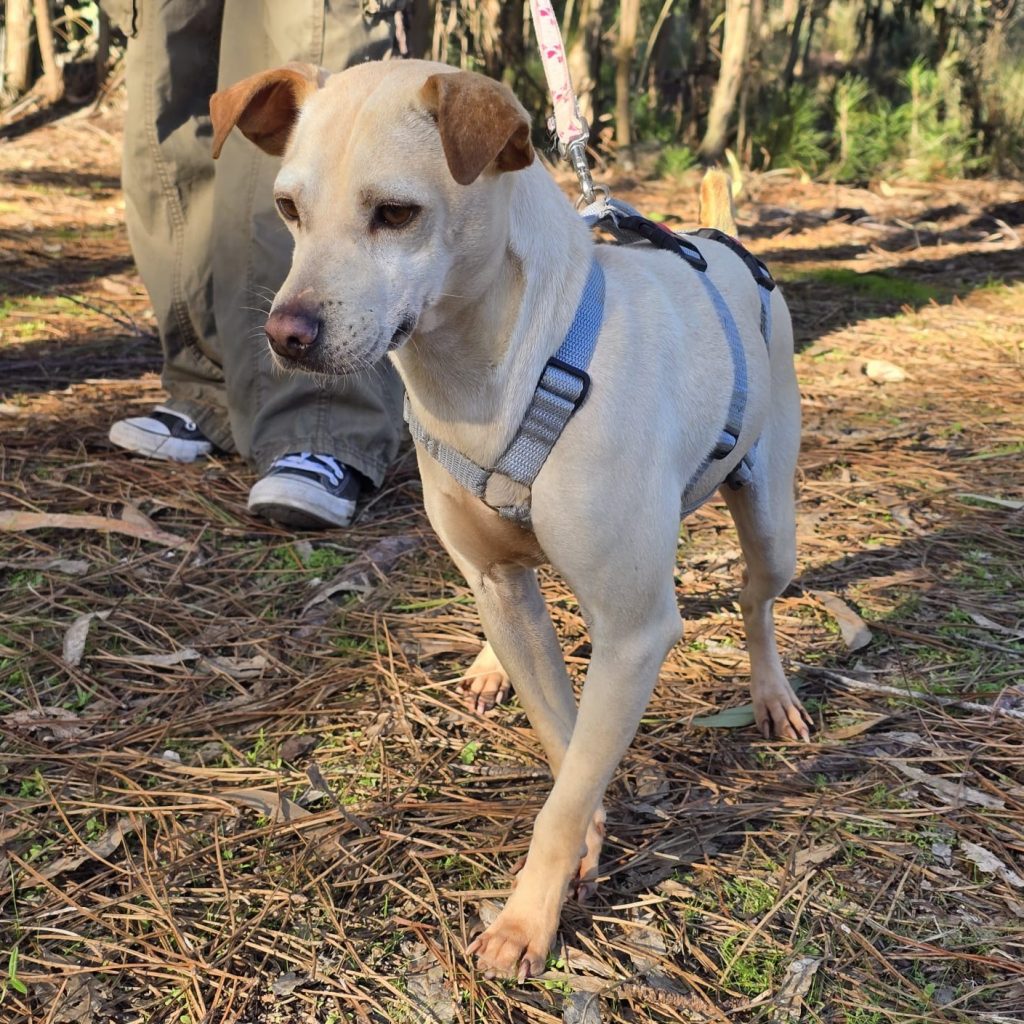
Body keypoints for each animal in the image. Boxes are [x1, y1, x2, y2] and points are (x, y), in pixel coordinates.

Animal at [210, 59, 811, 982]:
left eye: (396, 213)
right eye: (288, 209)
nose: (288, 334)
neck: (491, 379)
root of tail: (720, 244)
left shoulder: (635, 631)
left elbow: (566, 789)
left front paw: (530, 919)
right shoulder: (500, 582)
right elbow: (565, 751)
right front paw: (581, 846)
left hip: (773, 522)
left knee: (756, 602)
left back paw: (772, 695)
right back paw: (493, 666)